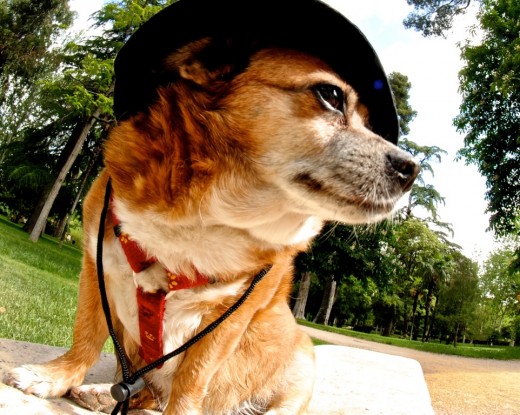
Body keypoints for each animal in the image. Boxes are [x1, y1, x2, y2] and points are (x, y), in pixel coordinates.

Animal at [4, 1, 418, 414]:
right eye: (331, 95)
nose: (412, 169)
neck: (203, 213)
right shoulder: (95, 264)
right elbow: (87, 334)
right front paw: (54, 376)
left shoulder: (230, 320)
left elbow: (192, 380)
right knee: (141, 389)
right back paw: (106, 394)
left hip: (301, 365)